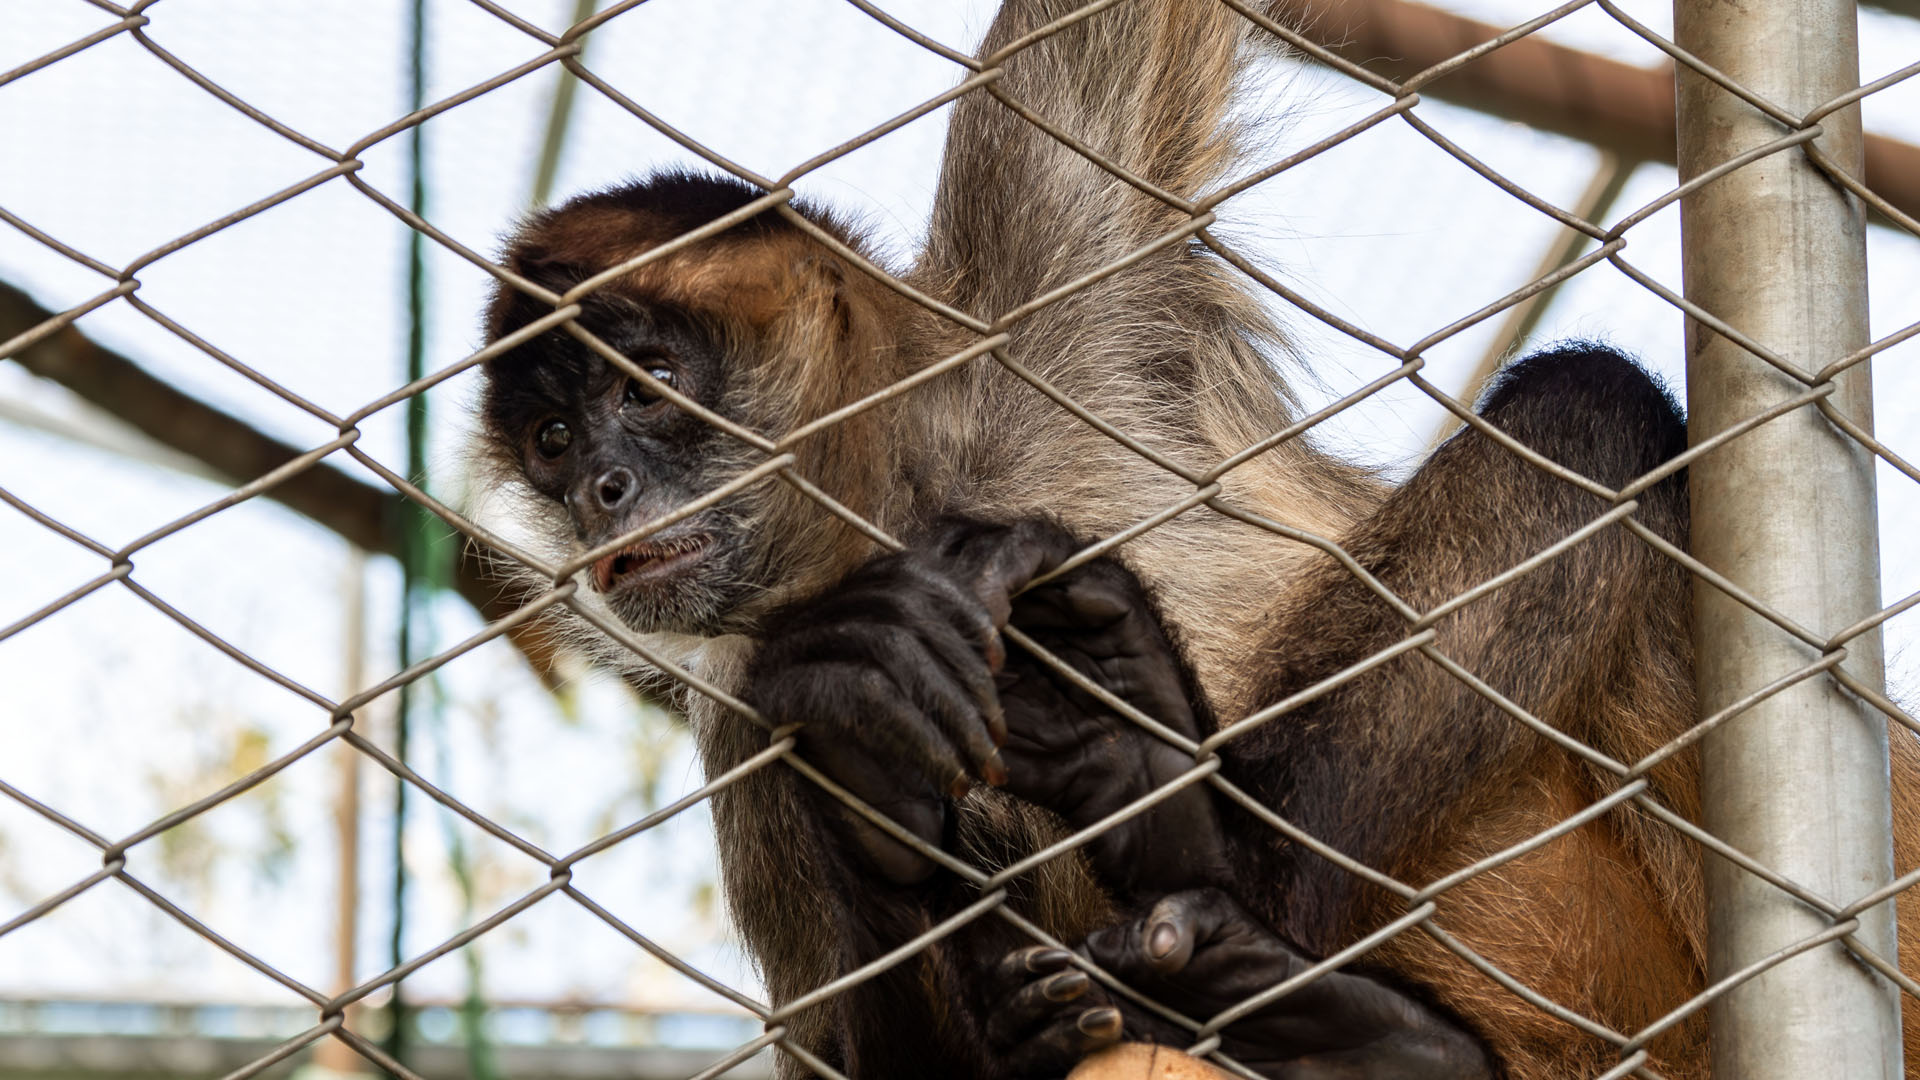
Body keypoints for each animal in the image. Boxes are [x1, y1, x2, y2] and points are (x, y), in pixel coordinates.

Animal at [469, 0, 1920, 1077]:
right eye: (549, 440)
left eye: (644, 386)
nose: (599, 490)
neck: (918, 501)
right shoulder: (744, 697)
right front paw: (861, 735)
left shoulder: (1052, 256)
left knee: (1590, 409)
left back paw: (1186, 815)